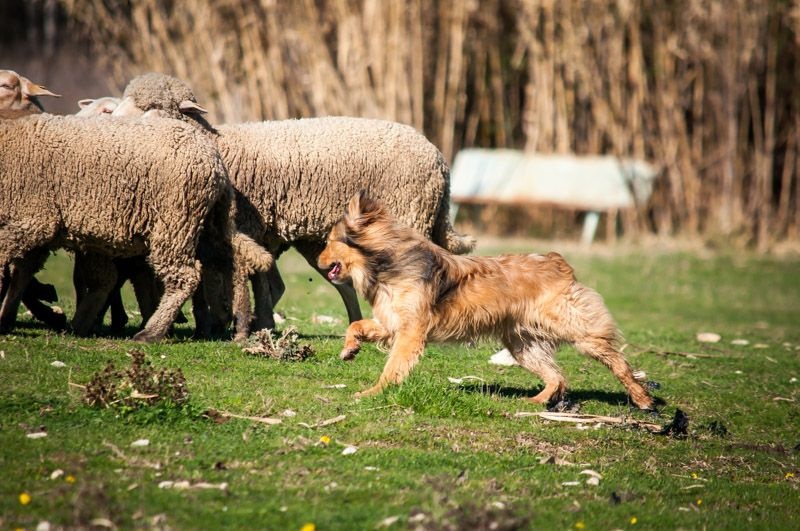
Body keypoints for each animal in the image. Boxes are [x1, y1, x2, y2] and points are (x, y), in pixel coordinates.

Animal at [0, 114, 256, 342]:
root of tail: (215, 161)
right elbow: (22, 272)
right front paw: (5, 318)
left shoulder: (33, 219)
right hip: (203, 224)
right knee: (227, 262)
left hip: (174, 223)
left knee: (185, 277)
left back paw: (150, 333)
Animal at [112, 72, 476, 338]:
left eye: (152, 106)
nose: (114, 124)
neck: (218, 142)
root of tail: (438, 156)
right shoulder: (254, 229)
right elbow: (257, 278)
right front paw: (257, 323)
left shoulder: (245, 223)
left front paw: (243, 325)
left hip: (409, 215)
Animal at [316, 193, 652, 410]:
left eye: (329, 241)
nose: (318, 262)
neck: (386, 264)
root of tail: (557, 262)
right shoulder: (390, 323)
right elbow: (356, 325)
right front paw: (349, 349)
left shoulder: (410, 331)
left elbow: (393, 367)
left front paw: (374, 392)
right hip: (523, 344)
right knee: (557, 377)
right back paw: (537, 401)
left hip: (578, 332)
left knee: (617, 362)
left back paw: (643, 398)